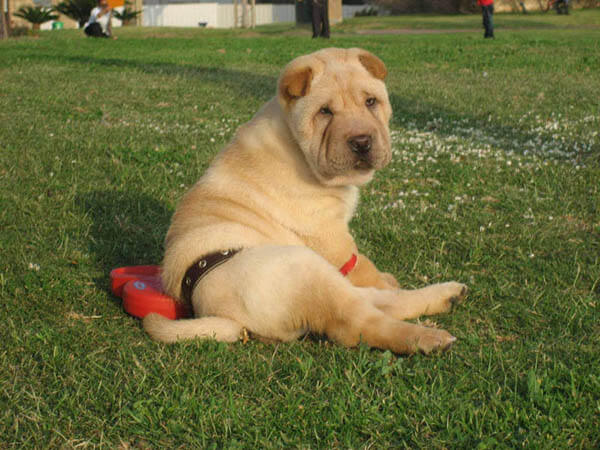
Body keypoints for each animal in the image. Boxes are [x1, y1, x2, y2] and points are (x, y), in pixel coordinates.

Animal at [144, 47, 468, 354]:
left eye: (371, 102)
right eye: (325, 112)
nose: (362, 142)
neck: (296, 144)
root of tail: (219, 315)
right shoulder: (330, 234)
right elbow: (361, 264)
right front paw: (379, 277)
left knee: (380, 301)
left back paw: (447, 295)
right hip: (305, 269)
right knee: (359, 323)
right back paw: (428, 338)